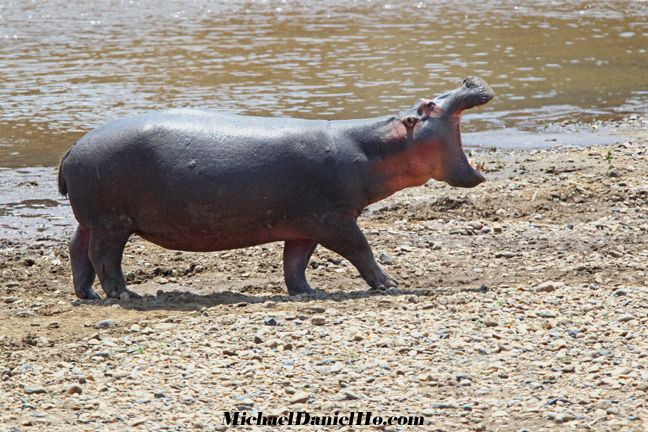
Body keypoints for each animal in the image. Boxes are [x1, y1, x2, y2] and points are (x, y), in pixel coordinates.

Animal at [58, 76, 494, 298]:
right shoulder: (334, 219)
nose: (469, 79)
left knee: (78, 249)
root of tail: (74, 147)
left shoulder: (304, 224)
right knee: (104, 256)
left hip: (93, 219)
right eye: (428, 106)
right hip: (113, 222)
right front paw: (390, 284)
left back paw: (88, 294)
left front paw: (307, 292)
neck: (373, 147)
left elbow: (295, 261)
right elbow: (361, 250)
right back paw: (124, 295)